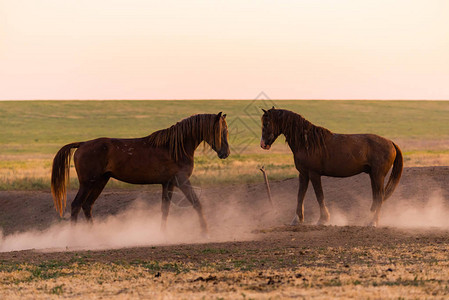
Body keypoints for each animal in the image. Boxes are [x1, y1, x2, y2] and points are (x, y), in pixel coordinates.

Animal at [50, 112, 229, 234]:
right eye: (221, 131)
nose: (225, 153)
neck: (175, 147)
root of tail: (82, 144)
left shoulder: (169, 183)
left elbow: (165, 208)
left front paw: (163, 233)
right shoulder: (182, 181)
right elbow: (196, 203)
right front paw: (205, 231)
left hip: (100, 181)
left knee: (87, 205)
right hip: (88, 183)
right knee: (76, 205)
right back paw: (75, 238)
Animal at [260, 106, 402, 226]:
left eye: (266, 123)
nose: (263, 145)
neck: (307, 142)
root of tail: (391, 142)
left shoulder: (314, 174)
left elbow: (319, 196)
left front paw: (323, 219)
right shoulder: (303, 174)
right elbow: (300, 195)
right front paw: (297, 219)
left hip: (378, 175)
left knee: (379, 197)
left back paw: (373, 222)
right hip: (373, 175)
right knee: (376, 198)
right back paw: (369, 220)